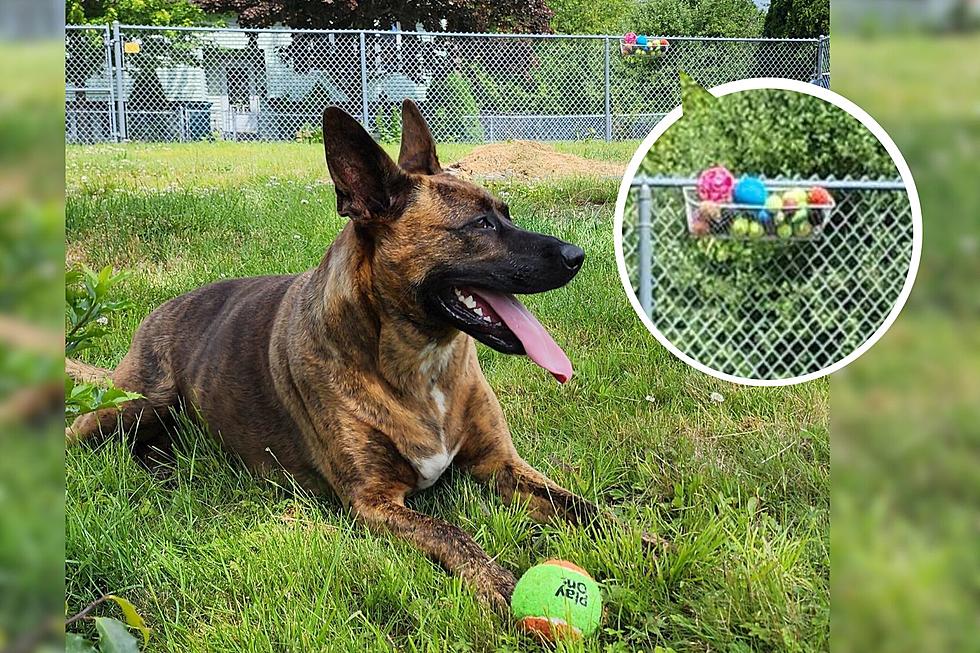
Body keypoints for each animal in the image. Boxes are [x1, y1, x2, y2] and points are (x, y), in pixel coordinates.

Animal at [69, 99, 652, 608]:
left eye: (505, 213)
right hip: (136, 404)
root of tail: (160, 310)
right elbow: (455, 534)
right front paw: (506, 591)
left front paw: (652, 543)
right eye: (481, 225)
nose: (578, 255)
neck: (421, 367)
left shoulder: (500, 464)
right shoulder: (373, 502)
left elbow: (589, 510)